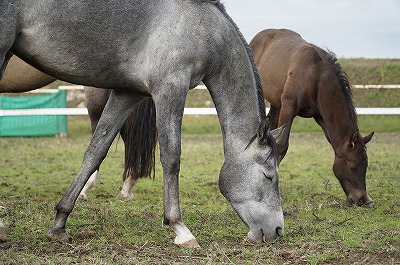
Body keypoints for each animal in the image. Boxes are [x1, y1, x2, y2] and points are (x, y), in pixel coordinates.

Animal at [1, 0, 286, 245]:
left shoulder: (127, 93)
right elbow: (171, 157)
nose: (278, 230)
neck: (204, 26)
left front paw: (60, 222)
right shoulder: (170, 89)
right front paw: (180, 228)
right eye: (269, 176)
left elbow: (95, 151)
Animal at [250, 29, 376, 206]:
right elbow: (281, 146)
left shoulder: (321, 117)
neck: (316, 76)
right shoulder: (289, 107)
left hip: (276, 104)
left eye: (366, 166)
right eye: (352, 166)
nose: (362, 199)